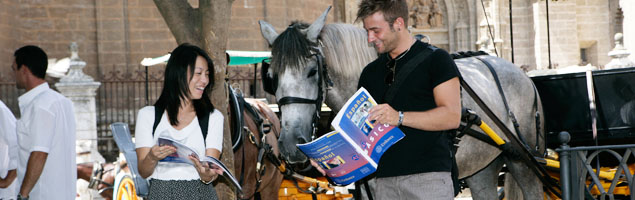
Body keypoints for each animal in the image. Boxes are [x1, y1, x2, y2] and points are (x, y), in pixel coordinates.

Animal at [260, 7, 548, 199]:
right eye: (271, 77)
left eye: (312, 71)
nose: (289, 144)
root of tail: (523, 75)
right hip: (482, 167)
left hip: (523, 161)